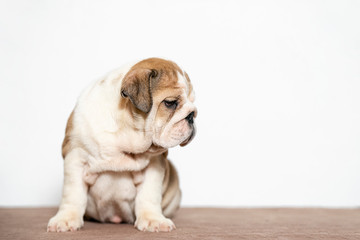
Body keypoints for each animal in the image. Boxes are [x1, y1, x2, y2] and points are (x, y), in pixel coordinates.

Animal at [47, 57, 197, 232]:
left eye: (193, 103)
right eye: (170, 103)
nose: (192, 115)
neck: (124, 131)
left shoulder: (154, 165)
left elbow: (148, 195)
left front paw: (153, 219)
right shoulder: (75, 157)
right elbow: (73, 194)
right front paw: (66, 219)